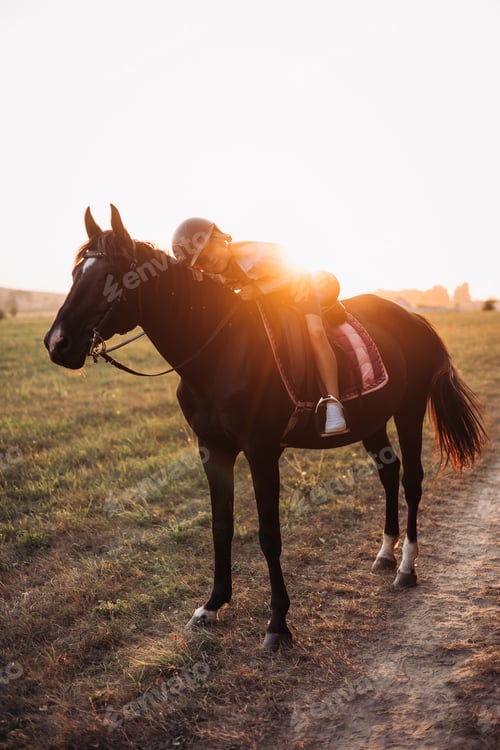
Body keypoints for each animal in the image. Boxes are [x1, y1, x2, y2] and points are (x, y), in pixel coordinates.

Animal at [44, 205, 488, 651]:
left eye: (108, 276)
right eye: (74, 273)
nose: (57, 344)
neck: (219, 350)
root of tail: (412, 316)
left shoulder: (261, 452)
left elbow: (269, 535)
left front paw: (277, 623)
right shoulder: (213, 450)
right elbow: (221, 527)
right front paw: (212, 605)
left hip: (408, 411)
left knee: (412, 479)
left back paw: (407, 568)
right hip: (372, 420)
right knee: (389, 471)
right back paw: (384, 554)